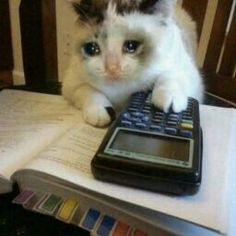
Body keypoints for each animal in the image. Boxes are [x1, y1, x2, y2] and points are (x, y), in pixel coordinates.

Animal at [61, 0, 204, 127]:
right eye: (92, 48)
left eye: (131, 46)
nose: (112, 68)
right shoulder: (71, 83)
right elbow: (89, 91)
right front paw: (100, 112)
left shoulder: (189, 73)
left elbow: (169, 76)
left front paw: (167, 99)